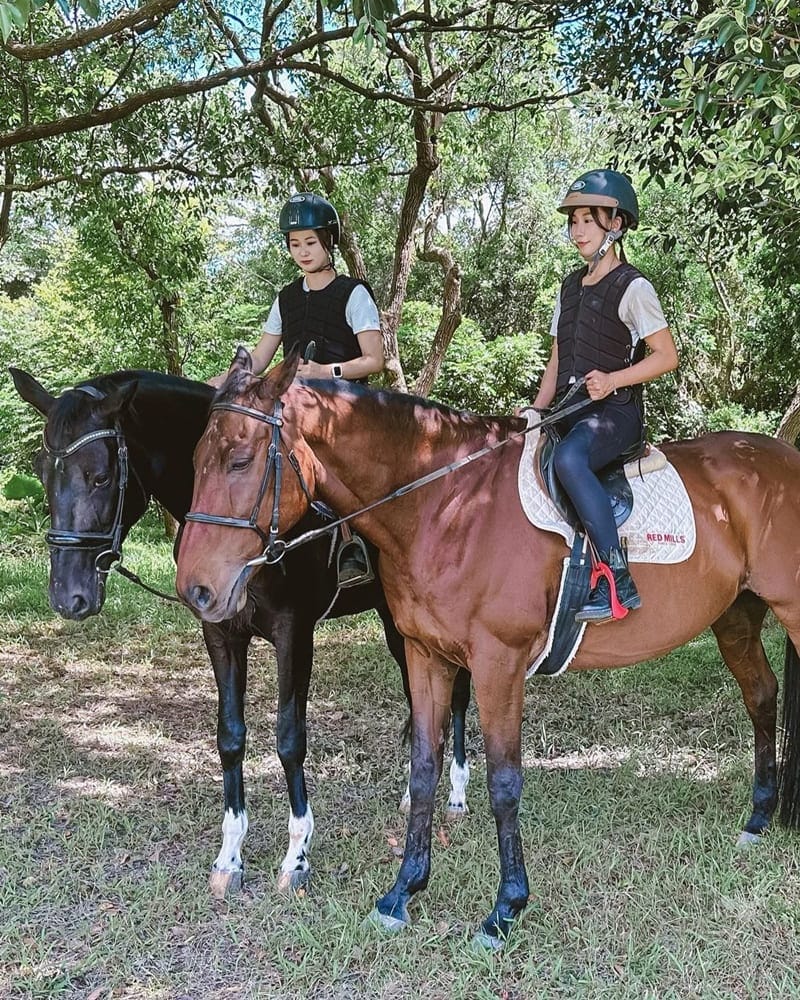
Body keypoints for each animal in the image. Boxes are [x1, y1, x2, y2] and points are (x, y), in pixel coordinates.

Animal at [9, 364, 472, 896]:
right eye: (42, 472)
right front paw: (230, 855)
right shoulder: (220, 632)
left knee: (456, 697)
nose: (69, 596)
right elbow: (230, 737)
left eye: (100, 475)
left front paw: (297, 855)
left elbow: (290, 737)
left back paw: (456, 793)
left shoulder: (295, 633)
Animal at [177, 350, 800, 944]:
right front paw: (403, 893)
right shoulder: (425, 655)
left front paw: (505, 910)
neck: (446, 502)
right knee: (762, 697)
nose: (195, 590)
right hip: (735, 618)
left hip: (788, 610)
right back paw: (758, 818)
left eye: (240, 460)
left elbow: (504, 782)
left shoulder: (499, 662)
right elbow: (423, 770)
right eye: (195, 459)